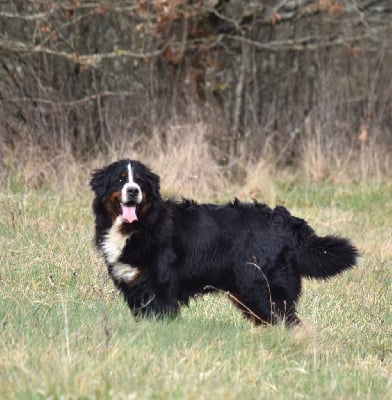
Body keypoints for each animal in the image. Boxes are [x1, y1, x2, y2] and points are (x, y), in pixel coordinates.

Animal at [89, 159, 358, 324]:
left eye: (140, 181)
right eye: (120, 180)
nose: (133, 191)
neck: (139, 225)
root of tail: (285, 219)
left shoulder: (159, 287)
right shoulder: (135, 288)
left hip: (261, 286)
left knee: (287, 321)